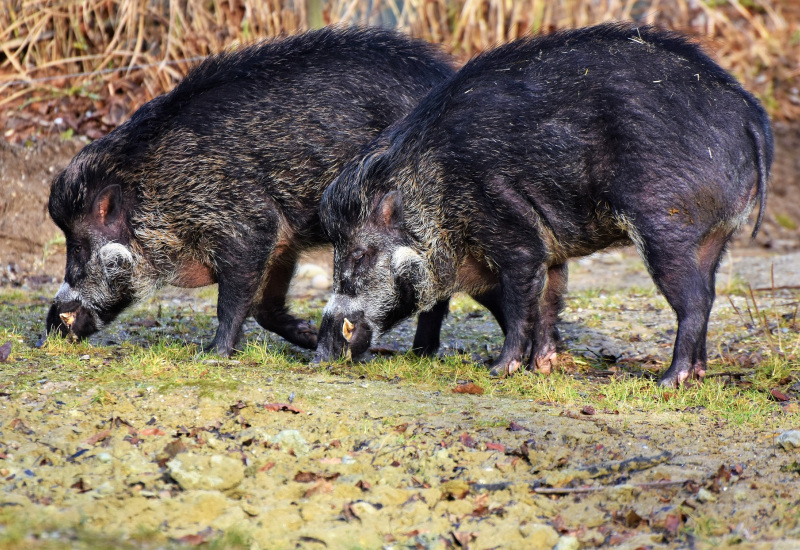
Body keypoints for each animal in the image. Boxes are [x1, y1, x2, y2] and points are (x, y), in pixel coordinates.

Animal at [45, 25, 456, 356]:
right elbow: (264, 307)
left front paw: (212, 354)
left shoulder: (247, 223)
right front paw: (308, 336)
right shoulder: (282, 240)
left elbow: (233, 300)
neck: (157, 188)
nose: (49, 326)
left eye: (78, 247)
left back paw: (418, 354)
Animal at [316, 23, 772, 388]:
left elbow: (521, 305)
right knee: (709, 293)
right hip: (716, 235)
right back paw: (697, 373)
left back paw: (668, 380)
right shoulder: (550, 252)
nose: (320, 355)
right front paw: (543, 367)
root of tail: (750, 113)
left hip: (666, 225)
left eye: (359, 253)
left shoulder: (514, 233)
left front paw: (499, 370)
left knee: (694, 301)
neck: (433, 193)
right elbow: (549, 302)